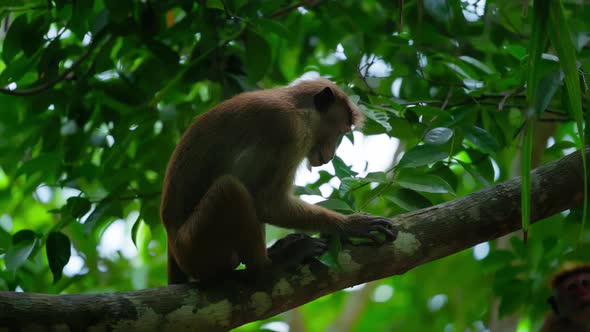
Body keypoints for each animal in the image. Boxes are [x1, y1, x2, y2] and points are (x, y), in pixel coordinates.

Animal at [161, 77, 398, 282]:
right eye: (338, 132)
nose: (331, 155)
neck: (298, 108)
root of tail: (173, 244)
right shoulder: (289, 129)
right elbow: (268, 204)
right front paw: (351, 226)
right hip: (194, 247)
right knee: (230, 189)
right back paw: (267, 267)